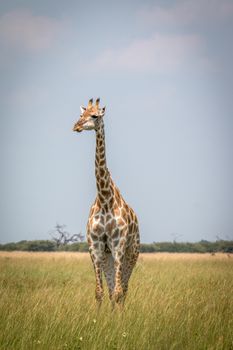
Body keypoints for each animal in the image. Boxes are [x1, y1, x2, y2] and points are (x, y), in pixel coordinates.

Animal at [72, 97, 140, 304]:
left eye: (95, 116)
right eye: (81, 114)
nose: (76, 126)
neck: (104, 199)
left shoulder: (118, 245)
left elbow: (118, 292)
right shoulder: (95, 247)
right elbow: (100, 292)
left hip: (132, 252)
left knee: (123, 289)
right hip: (108, 256)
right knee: (112, 290)